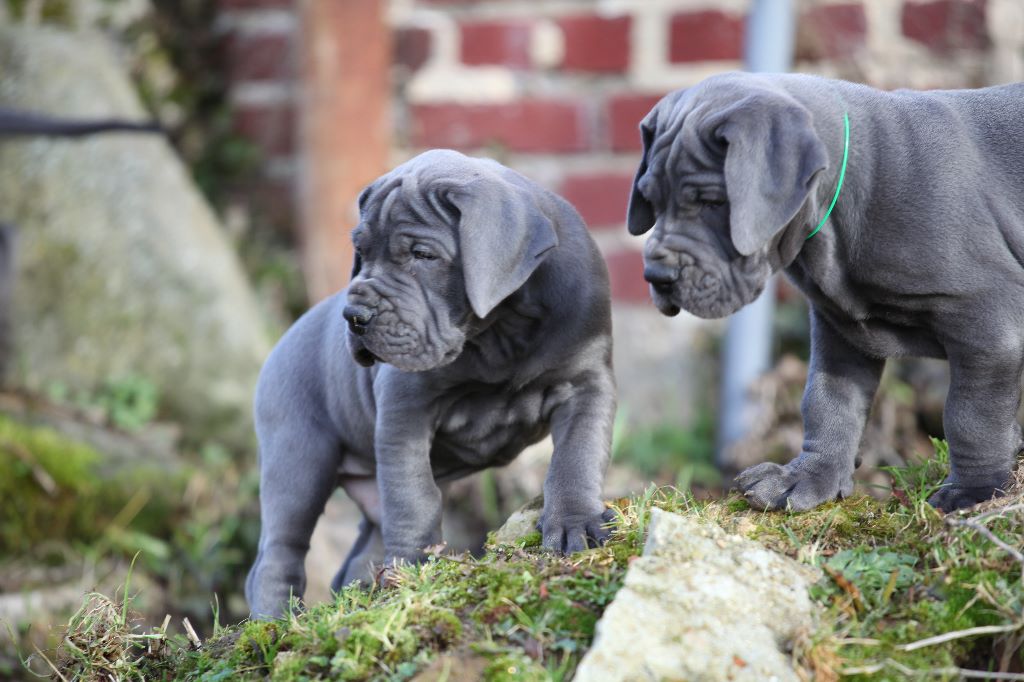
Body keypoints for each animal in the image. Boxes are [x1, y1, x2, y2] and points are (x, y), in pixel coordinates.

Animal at [247, 147, 614, 614]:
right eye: (360, 251)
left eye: (423, 255)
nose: (354, 316)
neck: (501, 328)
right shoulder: (405, 410)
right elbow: (414, 496)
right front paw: (412, 569)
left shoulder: (586, 383)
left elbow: (575, 456)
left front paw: (575, 524)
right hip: (298, 458)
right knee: (278, 554)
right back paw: (275, 619)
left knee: (355, 558)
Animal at [626, 73, 1024, 509]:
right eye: (650, 200)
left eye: (714, 202)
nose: (656, 275)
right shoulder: (840, 328)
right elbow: (828, 400)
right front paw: (808, 476)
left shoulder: (987, 320)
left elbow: (971, 416)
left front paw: (974, 491)